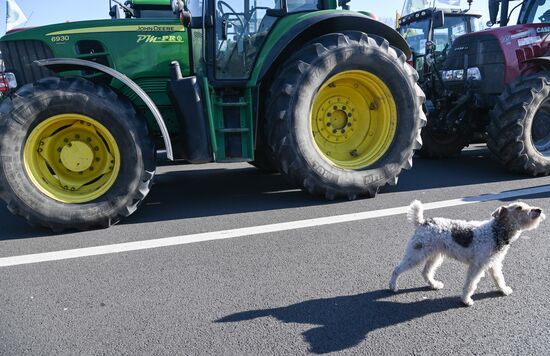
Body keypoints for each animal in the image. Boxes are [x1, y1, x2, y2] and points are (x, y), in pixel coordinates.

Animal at [390, 200, 544, 306]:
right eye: (519, 207)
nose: (539, 210)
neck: (496, 231)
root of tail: (423, 222)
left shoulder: (494, 264)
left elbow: (499, 278)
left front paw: (504, 290)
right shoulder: (477, 266)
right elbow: (470, 284)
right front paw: (465, 300)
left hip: (435, 255)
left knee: (426, 272)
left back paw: (434, 285)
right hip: (416, 254)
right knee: (397, 269)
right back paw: (393, 287)